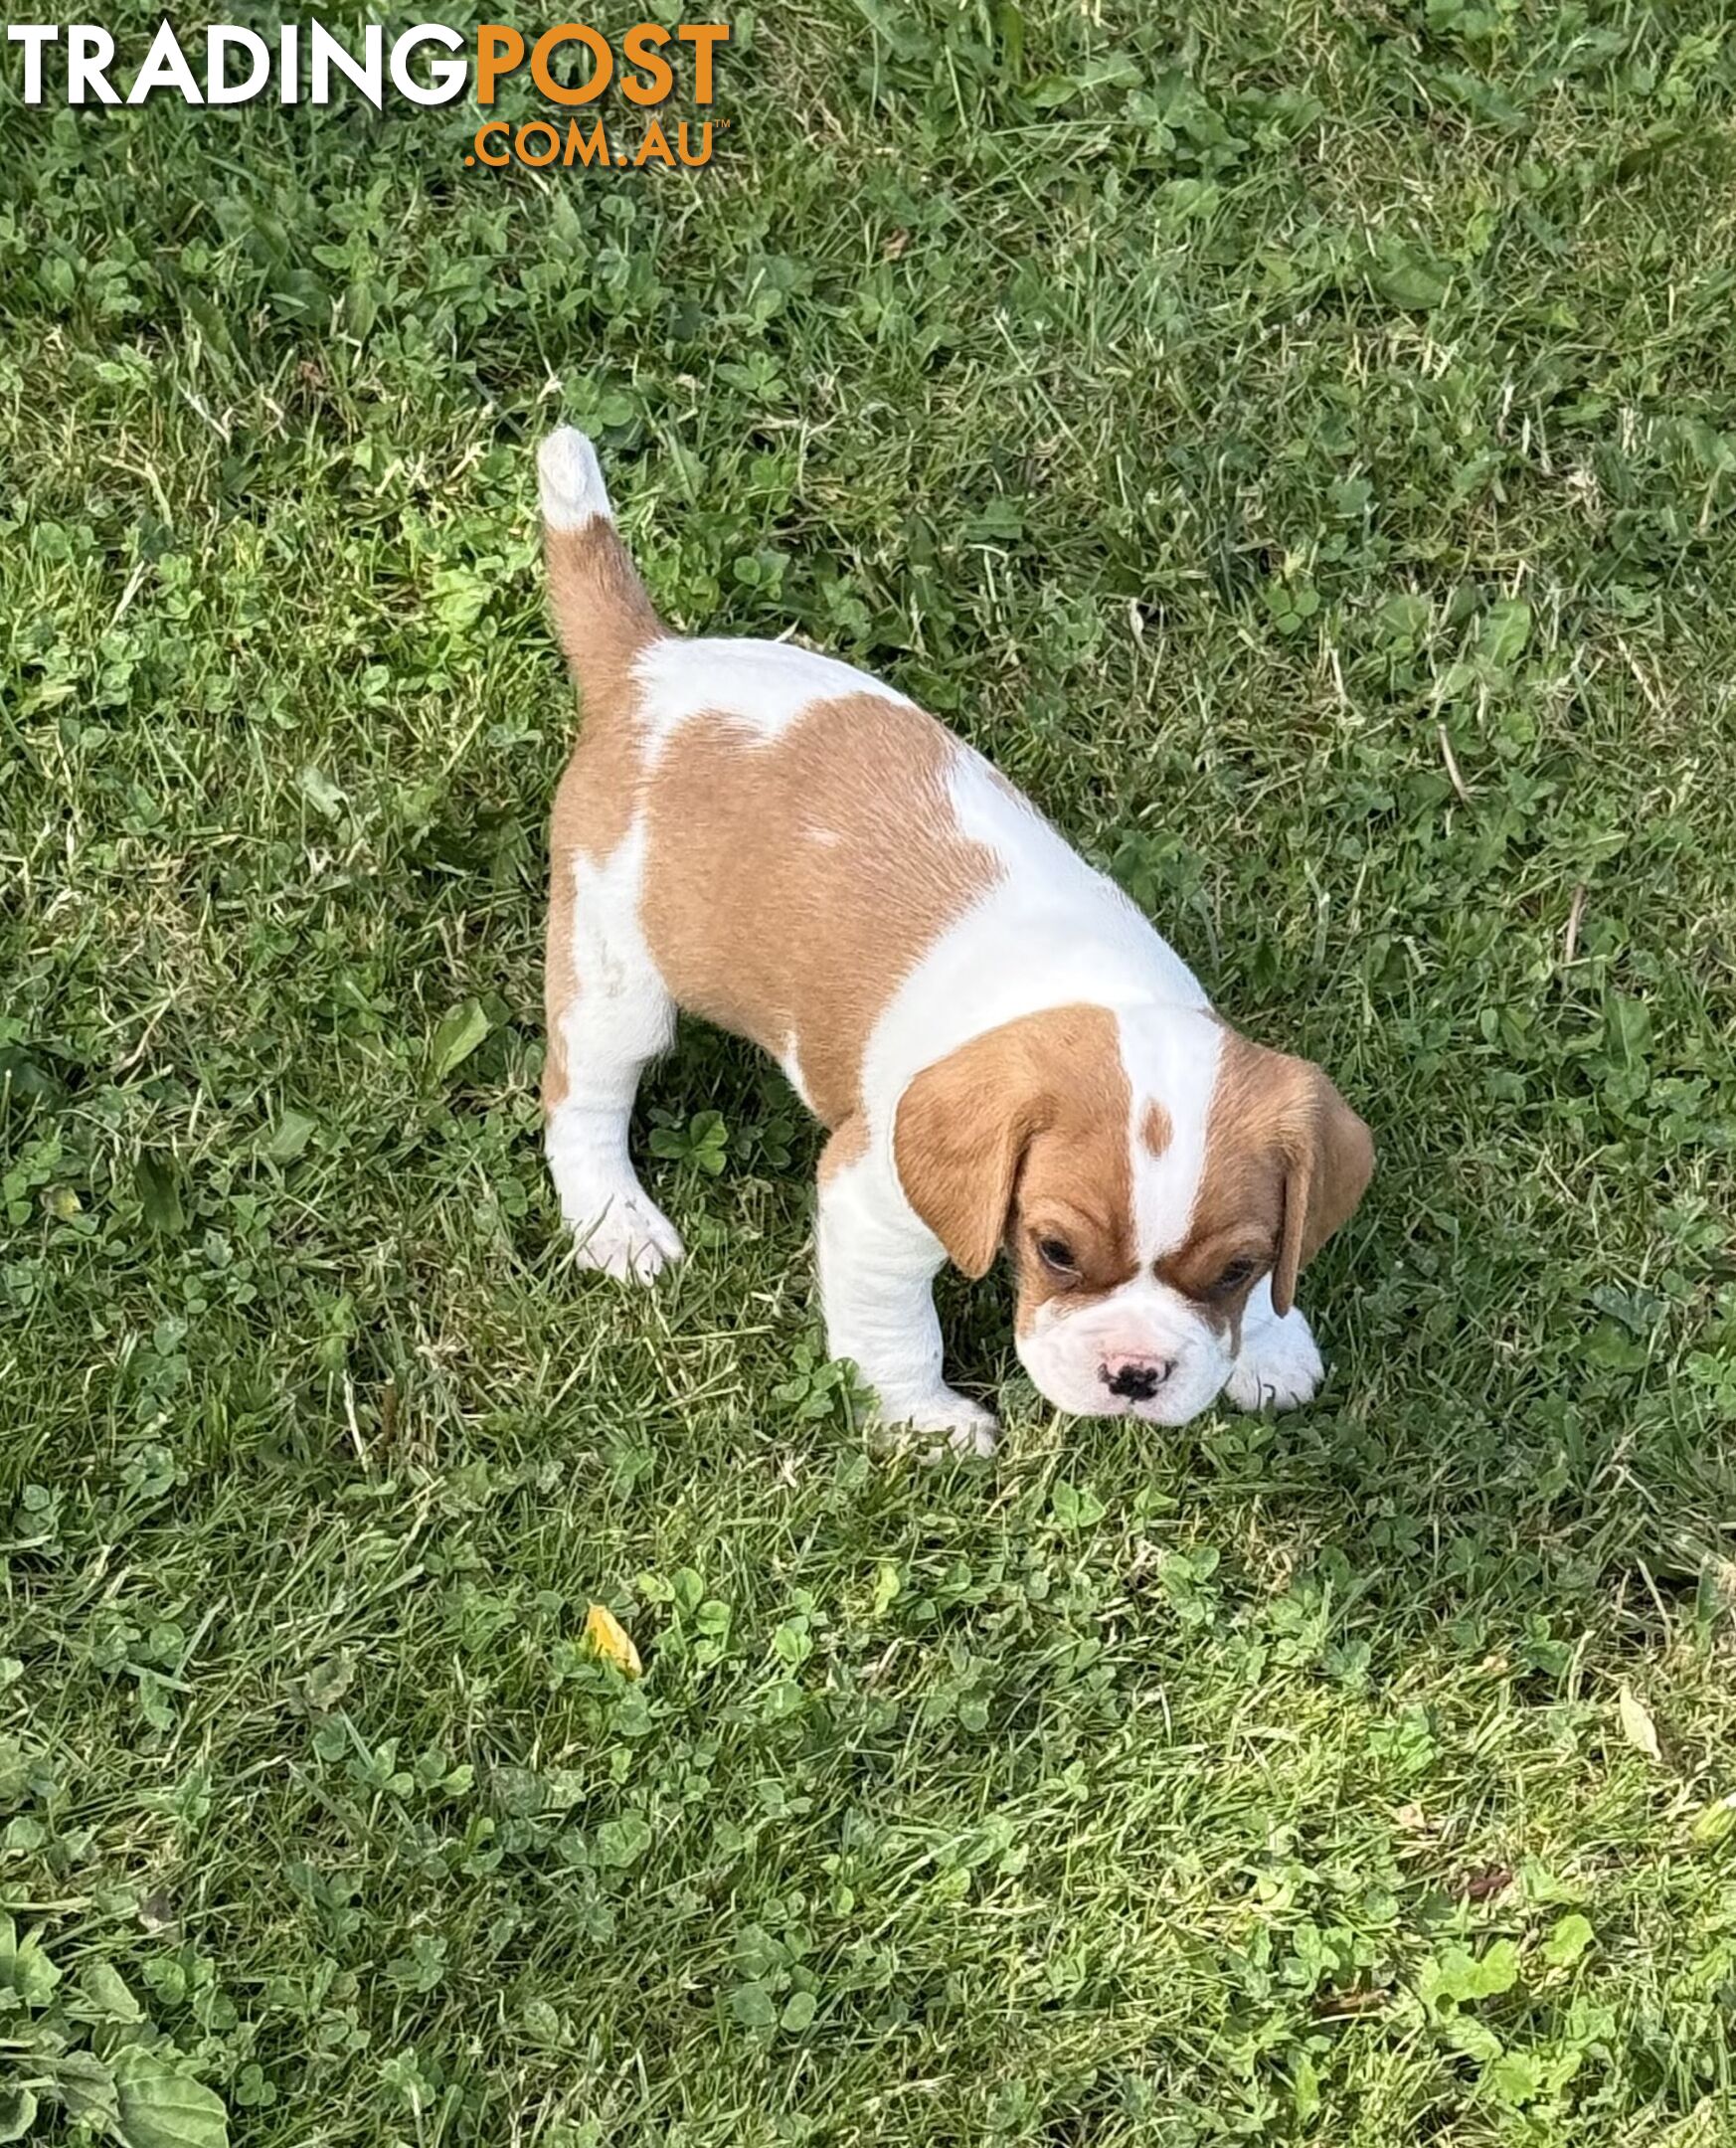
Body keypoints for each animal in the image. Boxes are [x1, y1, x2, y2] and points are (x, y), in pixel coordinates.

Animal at [535, 427, 1374, 1452]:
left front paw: (1273, 1343)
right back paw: (615, 1222)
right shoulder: (872, 1203)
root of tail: (645, 665)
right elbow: (896, 1331)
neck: (1098, 991)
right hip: (615, 978)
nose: (1136, 1375)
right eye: (1055, 1251)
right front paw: (925, 1424)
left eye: (1234, 1270)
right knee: (582, 1102)